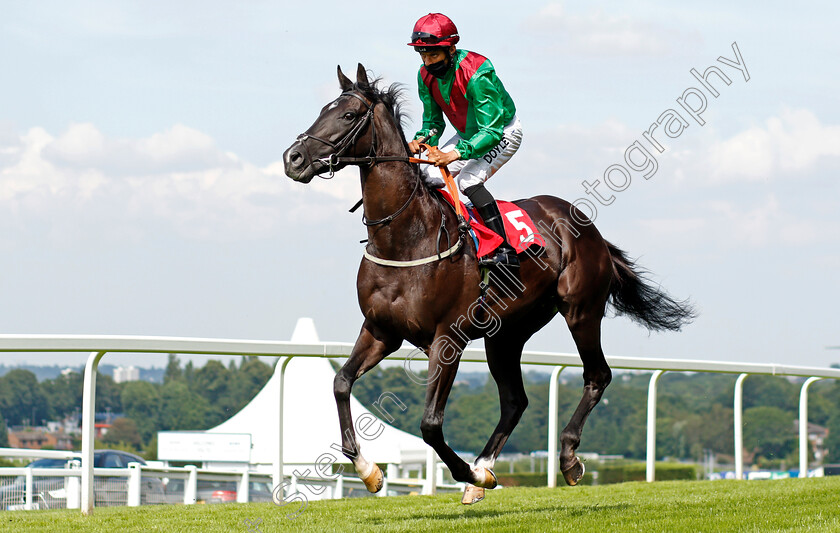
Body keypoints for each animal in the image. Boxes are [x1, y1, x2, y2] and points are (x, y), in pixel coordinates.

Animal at [284, 63, 696, 502]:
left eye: (347, 115)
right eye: (322, 110)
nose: (292, 158)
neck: (407, 238)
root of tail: (588, 228)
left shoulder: (447, 338)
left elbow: (430, 423)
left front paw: (463, 471)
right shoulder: (381, 330)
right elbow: (341, 382)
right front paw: (369, 471)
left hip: (581, 310)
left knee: (597, 375)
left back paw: (562, 459)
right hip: (507, 332)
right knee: (515, 400)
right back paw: (484, 468)